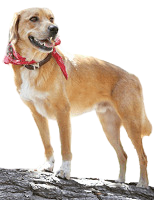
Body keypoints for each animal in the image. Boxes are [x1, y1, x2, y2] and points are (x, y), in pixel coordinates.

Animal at [2, 6, 153, 188]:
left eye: (51, 19)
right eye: (33, 19)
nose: (55, 29)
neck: (35, 65)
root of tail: (133, 76)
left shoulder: (63, 112)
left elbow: (65, 145)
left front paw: (64, 172)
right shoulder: (37, 114)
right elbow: (46, 142)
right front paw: (48, 166)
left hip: (131, 122)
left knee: (143, 156)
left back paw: (142, 184)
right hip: (109, 126)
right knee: (123, 155)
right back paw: (120, 182)